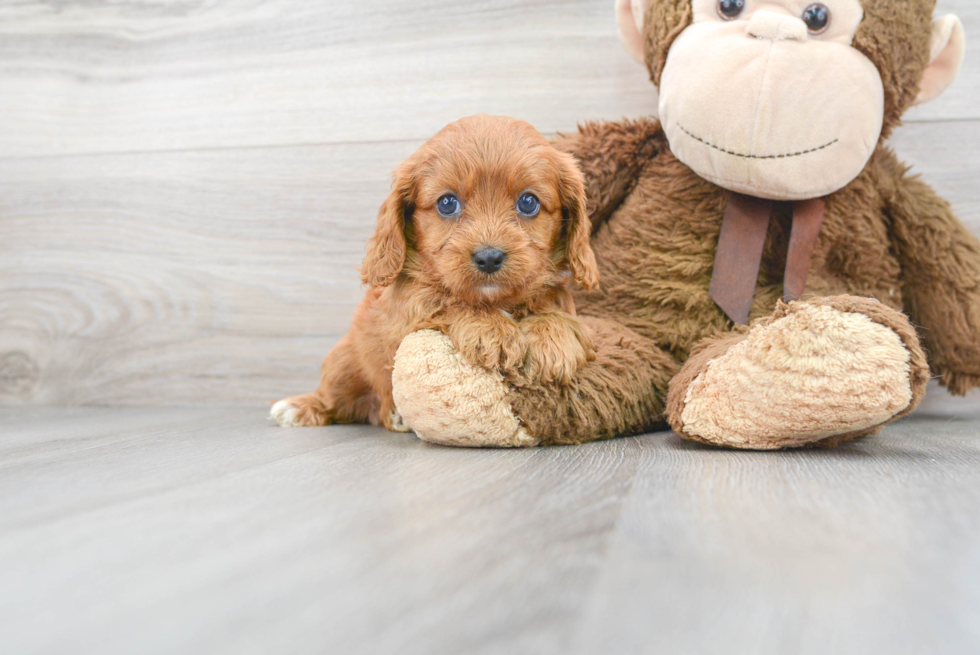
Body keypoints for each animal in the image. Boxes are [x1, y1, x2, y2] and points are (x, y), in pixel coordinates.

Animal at [272, 114, 600, 430]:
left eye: (528, 202)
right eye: (447, 203)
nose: (489, 257)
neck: (495, 301)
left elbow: (558, 306)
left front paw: (553, 339)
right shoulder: (404, 309)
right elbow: (444, 300)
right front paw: (492, 330)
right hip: (343, 362)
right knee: (333, 397)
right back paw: (300, 407)